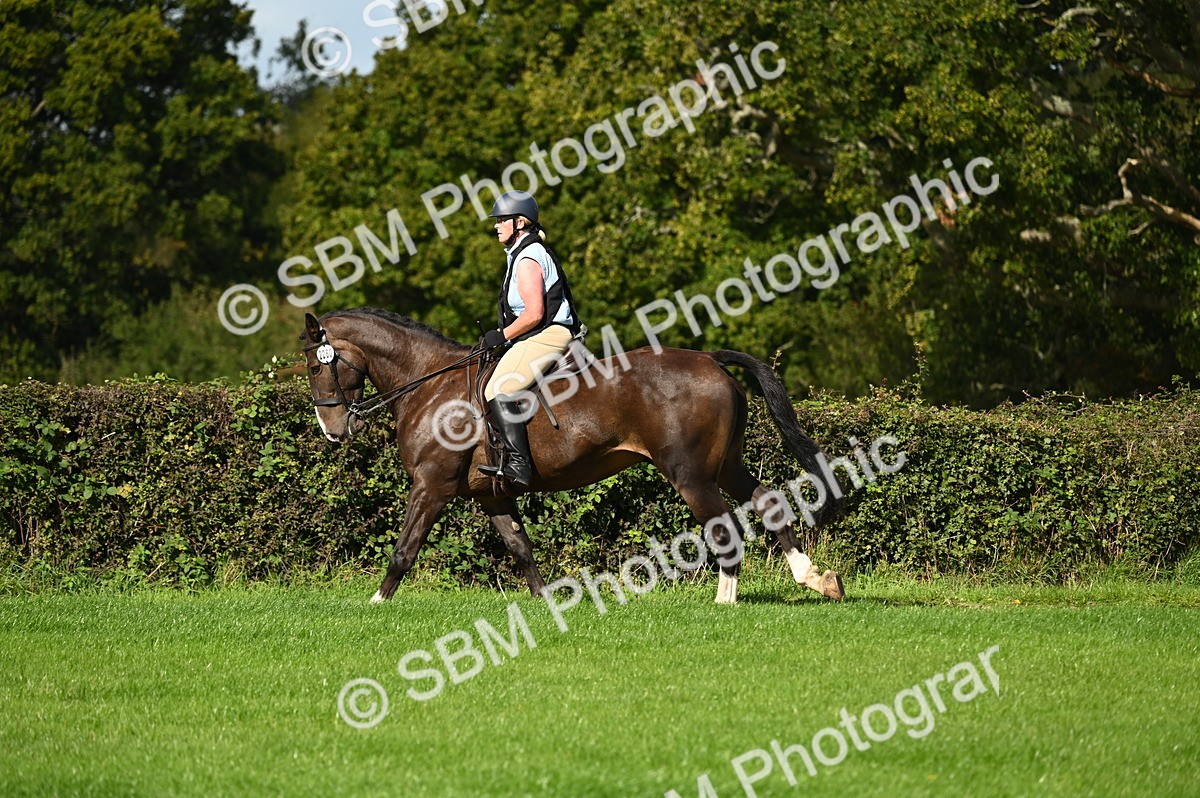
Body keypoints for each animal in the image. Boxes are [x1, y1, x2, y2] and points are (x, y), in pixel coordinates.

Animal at [300, 307, 844, 604]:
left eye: (315, 365)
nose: (333, 431)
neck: (429, 384)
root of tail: (709, 359)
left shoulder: (431, 486)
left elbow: (404, 548)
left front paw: (374, 604)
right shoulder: (490, 495)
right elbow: (520, 548)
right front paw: (546, 604)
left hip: (690, 474)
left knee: (724, 525)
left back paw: (725, 599)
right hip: (724, 466)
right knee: (767, 501)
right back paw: (816, 579)